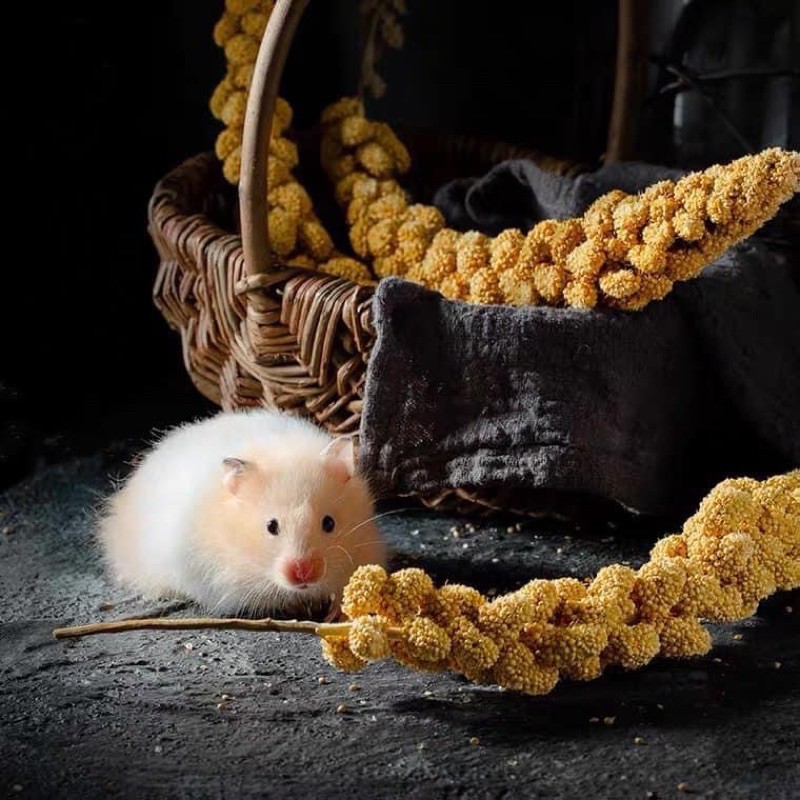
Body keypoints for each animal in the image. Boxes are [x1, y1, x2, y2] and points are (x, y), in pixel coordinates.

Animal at [97, 409, 388, 620]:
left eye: (329, 523)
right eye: (271, 526)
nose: (303, 574)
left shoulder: (365, 551)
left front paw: (333, 614)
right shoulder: (224, 581)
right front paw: (297, 608)